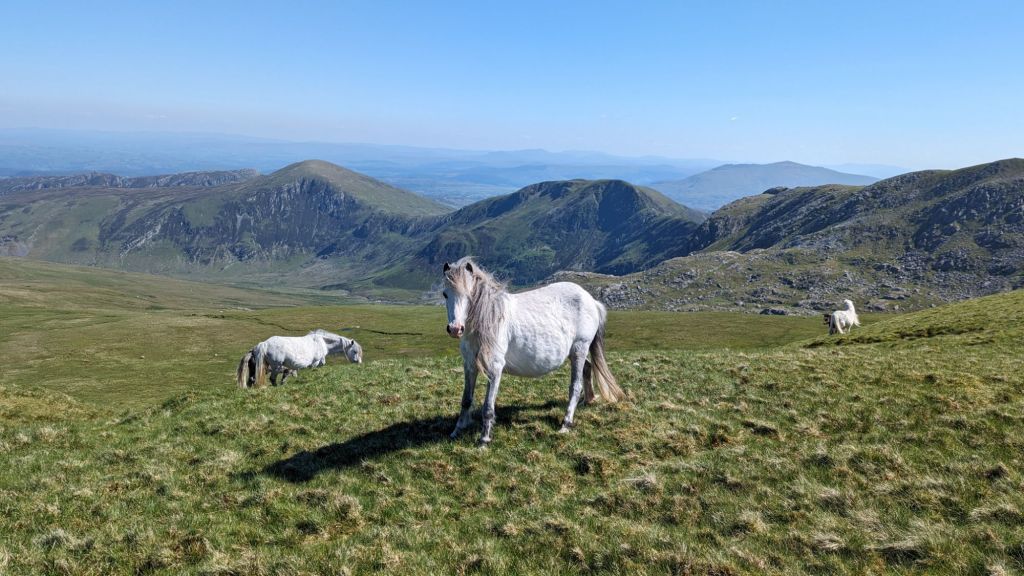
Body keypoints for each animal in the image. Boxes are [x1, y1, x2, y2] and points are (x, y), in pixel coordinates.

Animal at [441, 257, 624, 445]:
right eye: (445, 294)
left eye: (470, 294)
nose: (455, 329)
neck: (489, 319)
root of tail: (592, 301)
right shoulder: (470, 366)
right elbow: (466, 400)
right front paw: (457, 430)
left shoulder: (495, 368)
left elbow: (488, 407)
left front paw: (484, 439)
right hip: (573, 353)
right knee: (588, 368)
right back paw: (588, 400)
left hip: (580, 348)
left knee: (575, 386)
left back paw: (566, 424)